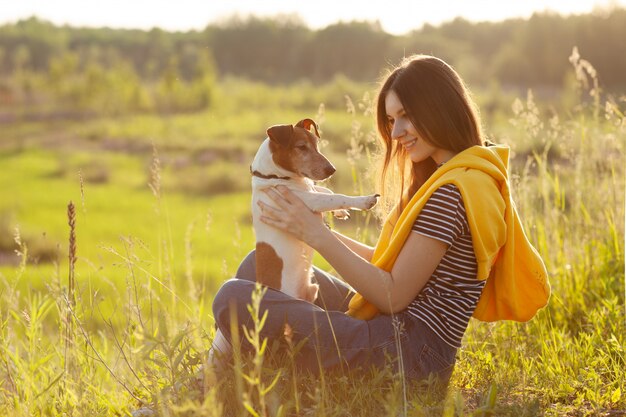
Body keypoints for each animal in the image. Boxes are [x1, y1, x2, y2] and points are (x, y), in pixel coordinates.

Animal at [210, 118, 376, 364]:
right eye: (301, 147)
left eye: (316, 144)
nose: (332, 169)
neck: (275, 177)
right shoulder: (307, 201)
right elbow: (334, 196)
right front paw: (363, 201)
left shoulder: (309, 192)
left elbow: (326, 190)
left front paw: (339, 213)